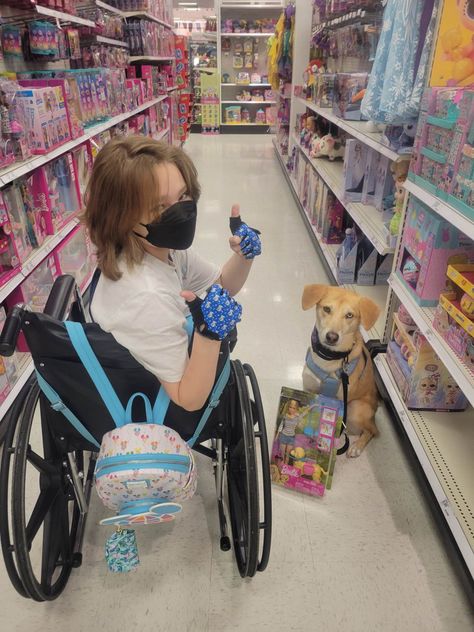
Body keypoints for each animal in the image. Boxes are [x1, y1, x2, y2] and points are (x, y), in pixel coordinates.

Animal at [304, 284, 382, 456]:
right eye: (327, 309)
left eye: (349, 315)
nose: (332, 337)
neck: (329, 359)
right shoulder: (308, 388)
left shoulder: (341, 403)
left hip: (355, 408)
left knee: (372, 431)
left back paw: (356, 446)